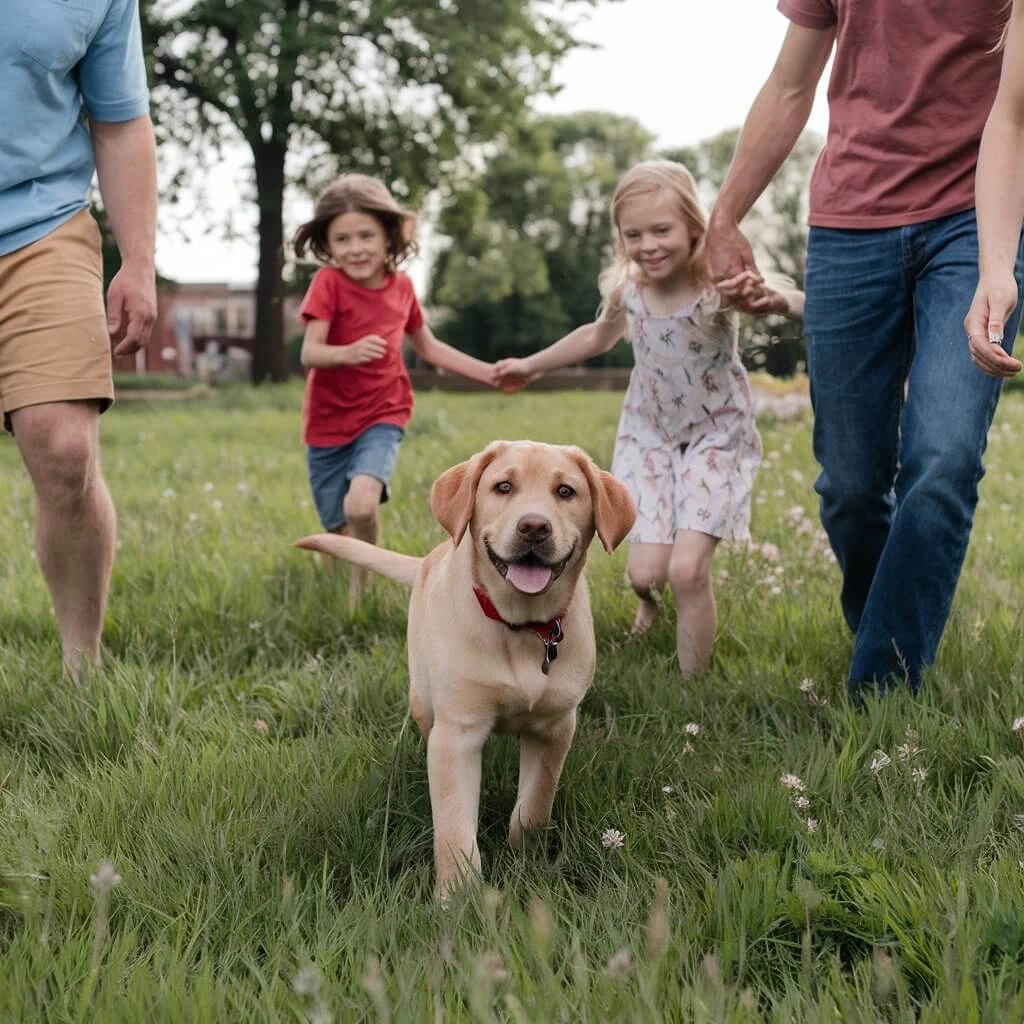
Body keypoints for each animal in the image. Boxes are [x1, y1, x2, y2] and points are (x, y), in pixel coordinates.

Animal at [292, 438, 634, 897]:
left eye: (566, 492)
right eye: (503, 486)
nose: (534, 527)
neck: (519, 625)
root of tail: (427, 558)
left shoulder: (555, 726)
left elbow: (536, 802)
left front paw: (524, 855)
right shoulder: (457, 733)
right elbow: (454, 827)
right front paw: (458, 897)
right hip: (423, 697)